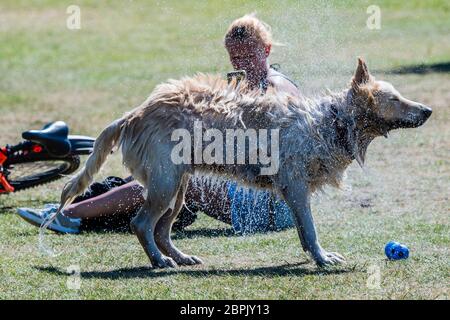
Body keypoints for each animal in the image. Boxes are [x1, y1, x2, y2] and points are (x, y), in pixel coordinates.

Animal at [44, 58, 432, 268]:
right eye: (395, 98)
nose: (428, 110)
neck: (332, 122)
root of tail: (133, 114)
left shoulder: (293, 191)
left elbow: (304, 232)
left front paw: (314, 256)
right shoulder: (296, 187)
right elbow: (310, 230)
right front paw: (322, 259)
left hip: (179, 188)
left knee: (161, 230)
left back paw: (180, 258)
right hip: (165, 185)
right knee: (141, 224)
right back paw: (159, 261)